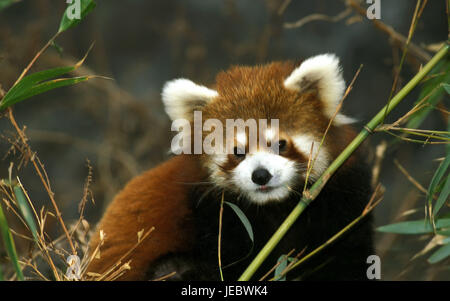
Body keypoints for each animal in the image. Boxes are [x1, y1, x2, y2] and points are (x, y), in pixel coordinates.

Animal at [86, 53, 374, 278]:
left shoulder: (342, 203)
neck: (276, 210)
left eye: (280, 144)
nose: (261, 175)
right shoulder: (217, 218)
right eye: (238, 152)